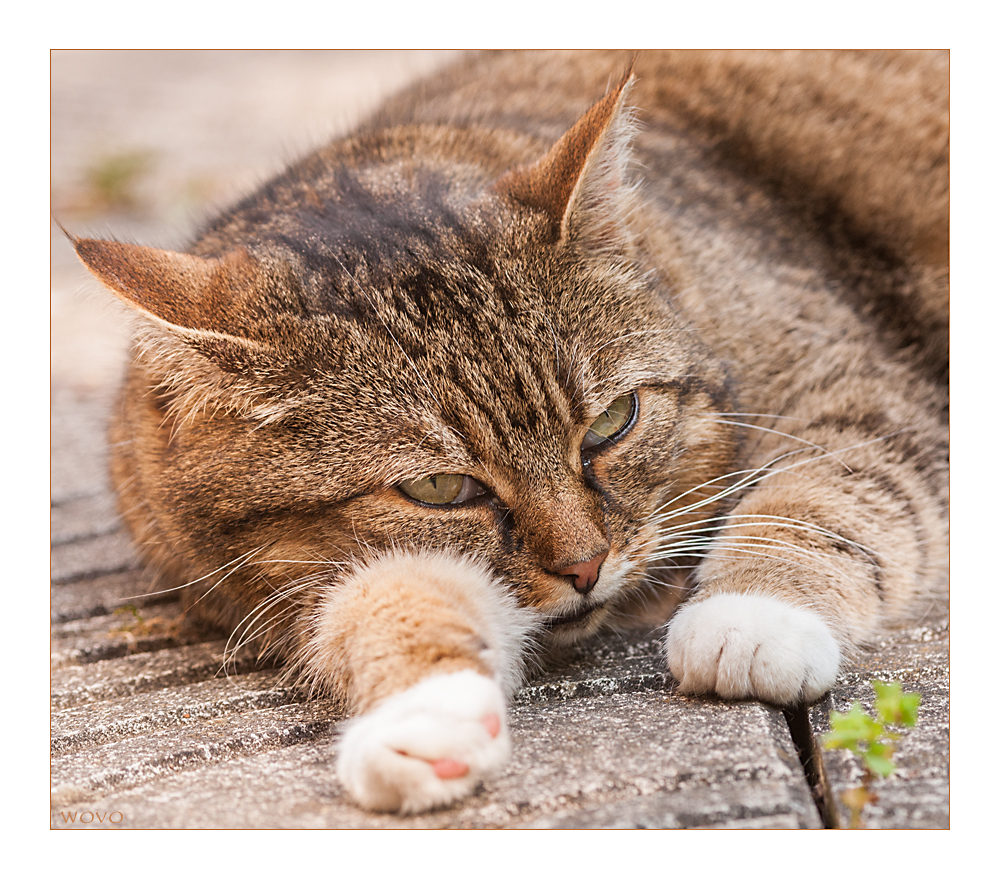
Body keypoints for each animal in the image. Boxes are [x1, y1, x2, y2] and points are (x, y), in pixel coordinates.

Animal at [68, 51, 944, 816]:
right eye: (439, 488)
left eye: (612, 423)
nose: (587, 568)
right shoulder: (290, 584)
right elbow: (379, 597)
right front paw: (426, 714)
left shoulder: (860, 383)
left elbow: (831, 489)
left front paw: (753, 613)